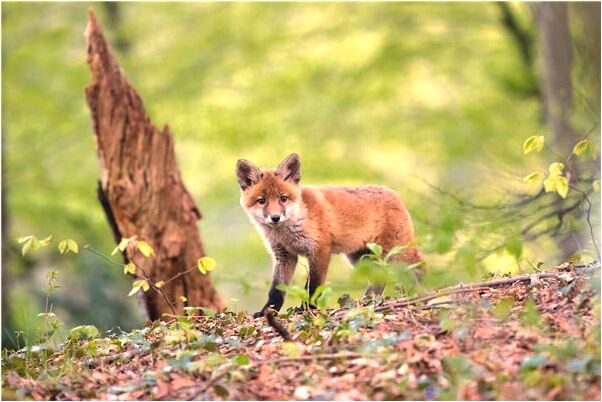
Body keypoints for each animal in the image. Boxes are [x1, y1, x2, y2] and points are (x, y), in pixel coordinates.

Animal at [236, 152, 422, 316]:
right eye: (262, 201)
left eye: (283, 198)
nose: (275, 217)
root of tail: (394, 193)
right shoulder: (284, 256)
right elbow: (276, 291)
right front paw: (267, 312)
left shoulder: (320, 250)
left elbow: (314, 286)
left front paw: (309, 309)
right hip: (361, 259)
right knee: (380, 278)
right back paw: (367, 302)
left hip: (397, 254)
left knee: (418, 268)